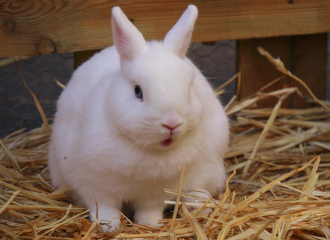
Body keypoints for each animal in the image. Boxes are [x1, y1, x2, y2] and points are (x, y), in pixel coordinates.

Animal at [48, 4, 229, 232]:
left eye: (189, 89)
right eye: (138, 91)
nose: (171, 123)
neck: (148, 151)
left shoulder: (157, 193)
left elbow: (149, 209)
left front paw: (150, 225)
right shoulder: (96, 187)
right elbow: (104, 208)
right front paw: (109, 227)